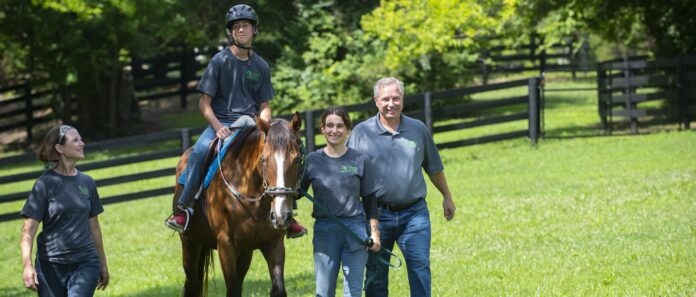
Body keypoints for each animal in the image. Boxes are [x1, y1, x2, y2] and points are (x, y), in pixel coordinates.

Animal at [173, 113, 304, 296]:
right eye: (264, 159)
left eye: (297, 159)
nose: (281, 216)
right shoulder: (225, 245)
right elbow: (233, 289)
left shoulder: (273, 243)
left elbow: (278, 289)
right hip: (190, 243)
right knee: (192, 285)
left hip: (244, 252)